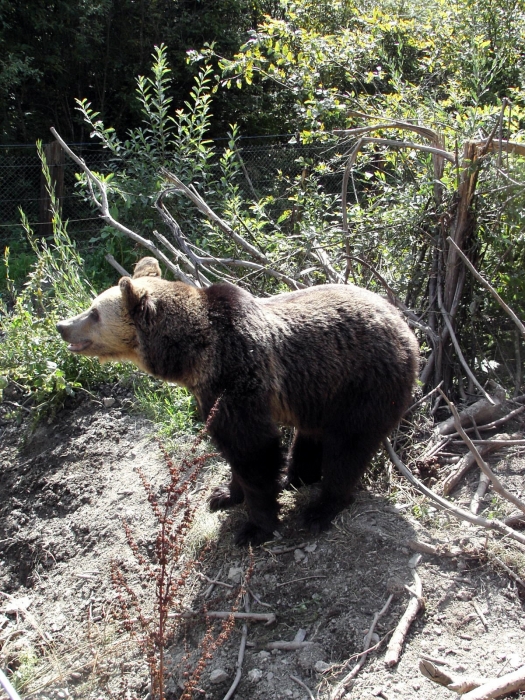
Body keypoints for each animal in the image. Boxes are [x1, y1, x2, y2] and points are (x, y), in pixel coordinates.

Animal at [56, 258, 418, 548]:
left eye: (93, 312)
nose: (62, 326)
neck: (194, 354)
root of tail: (407, 326)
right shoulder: (212, 392)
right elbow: (233, 449)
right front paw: (223, 494)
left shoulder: (238, 373)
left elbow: (252, 448)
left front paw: (253, 528)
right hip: (321, 389)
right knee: (312, 434)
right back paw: (295, 477)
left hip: (365, 383)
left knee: (349, 446)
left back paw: (319, 509)